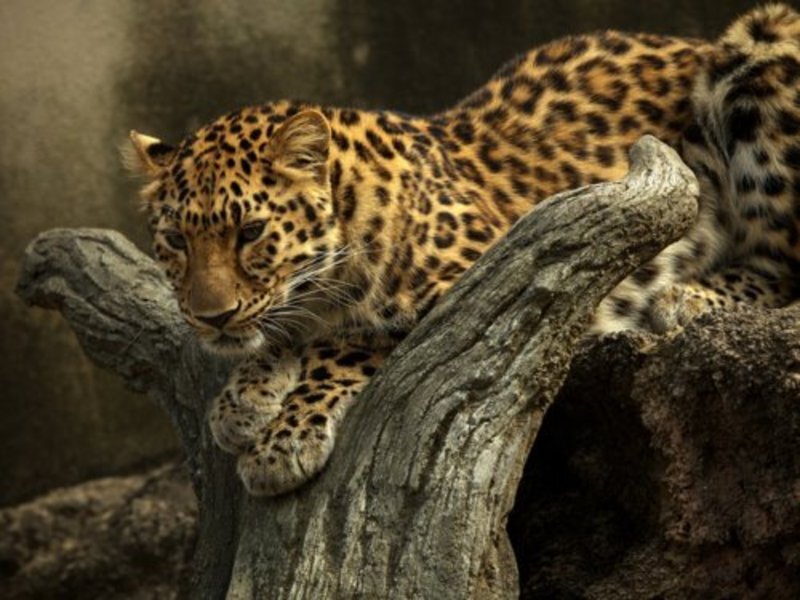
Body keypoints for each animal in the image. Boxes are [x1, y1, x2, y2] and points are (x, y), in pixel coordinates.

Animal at [126, 4, 800, 496]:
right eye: (177, 241)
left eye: (250, 234)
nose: (210, 317)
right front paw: (244, 394)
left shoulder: (506, 281)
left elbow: (350, 341)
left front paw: (284, 436)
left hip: (762, 40)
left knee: (784, 266)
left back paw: (686, 296)